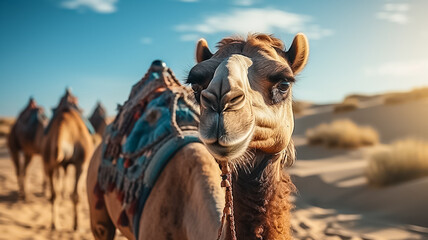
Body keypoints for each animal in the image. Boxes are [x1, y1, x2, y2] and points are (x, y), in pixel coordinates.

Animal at [42, 89, 94, 230]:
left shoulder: (58, 163)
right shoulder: (82, 163)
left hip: (50, 161)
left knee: (55, 194)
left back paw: (54, 224)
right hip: (79, 162)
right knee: (74, 194)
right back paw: (75, 225)